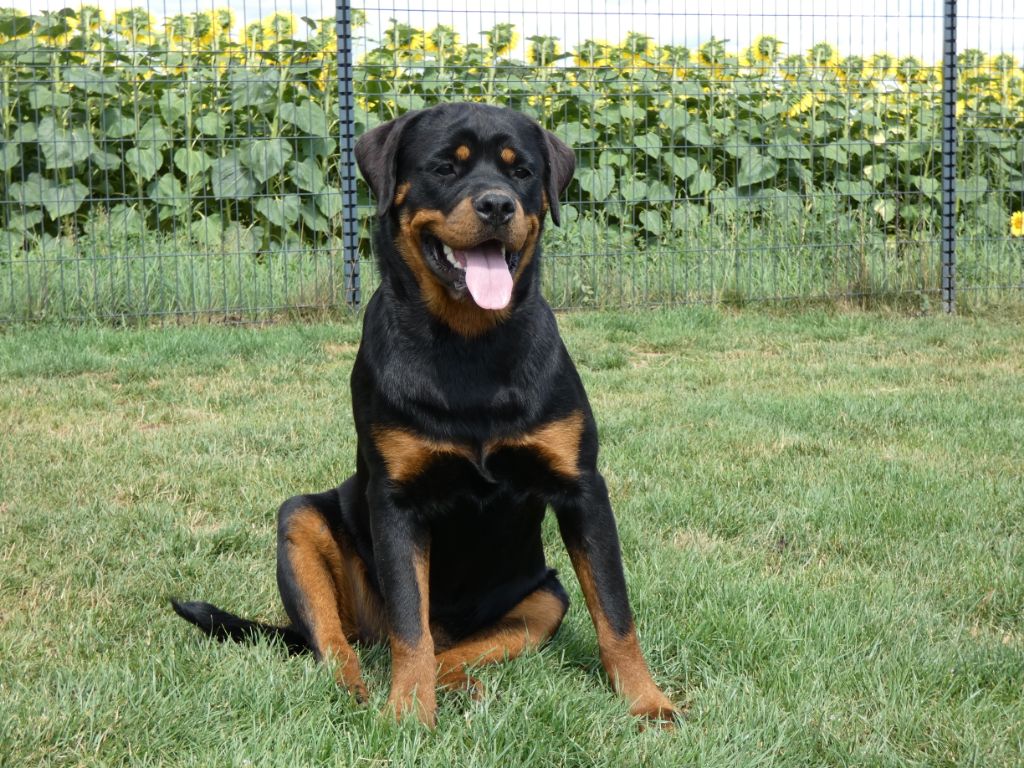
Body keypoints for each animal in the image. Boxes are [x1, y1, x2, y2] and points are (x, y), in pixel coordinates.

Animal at [172, 102, 678, 727]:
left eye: (521, 171)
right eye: (445, 167)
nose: (497, 204)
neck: (468, 344)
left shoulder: (582, 489)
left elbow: (615, 612)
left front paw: (649, 702)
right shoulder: (397, 502)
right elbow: (410, 626)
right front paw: (410, 716)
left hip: (544, 597)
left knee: (453, 647)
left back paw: (462, 684)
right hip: (301, 522)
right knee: (341, 641)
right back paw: (361, 688)